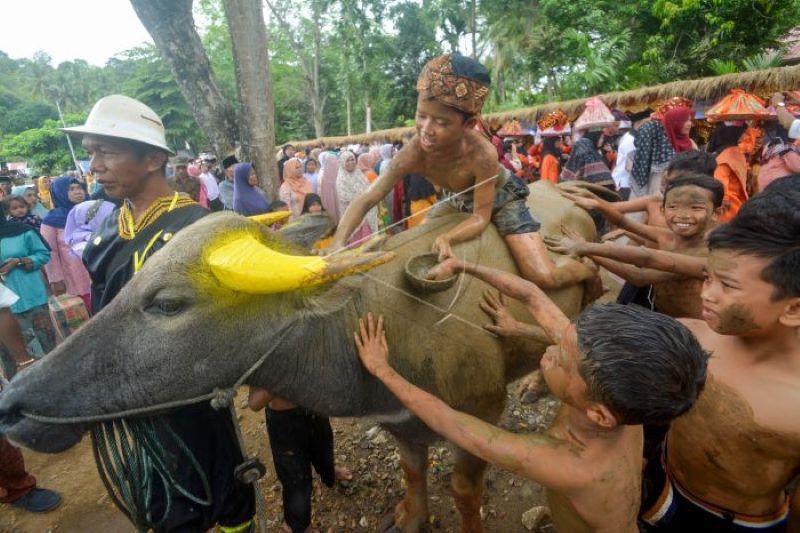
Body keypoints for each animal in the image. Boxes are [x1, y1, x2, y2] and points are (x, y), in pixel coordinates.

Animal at [0, 181, 592, 528]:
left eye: (167, 303)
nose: (13, 402)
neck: (377, 320)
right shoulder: (401, 423)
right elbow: (413, 471)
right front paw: (409, 517)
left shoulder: (479, 419)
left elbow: (465, 491)